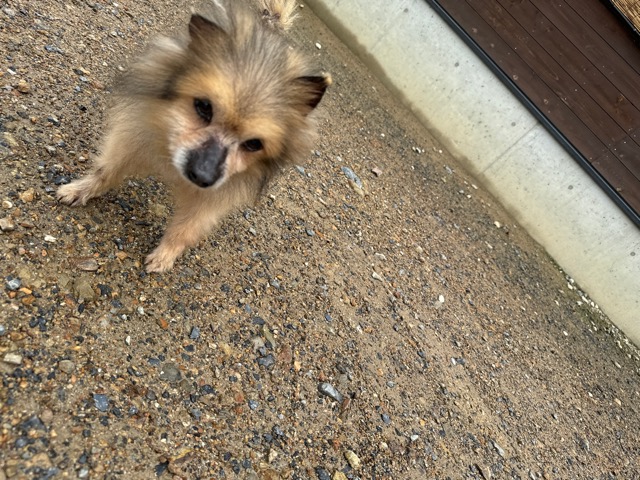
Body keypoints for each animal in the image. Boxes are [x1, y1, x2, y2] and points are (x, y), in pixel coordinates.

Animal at [57, 0, 330, 272]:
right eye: (204, 107)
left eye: (254, 144)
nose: (202, 176)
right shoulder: (132, 139)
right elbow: (105, 171)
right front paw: (80, 190)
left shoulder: (211, 199)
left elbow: (185, 230)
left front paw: (165, 255)